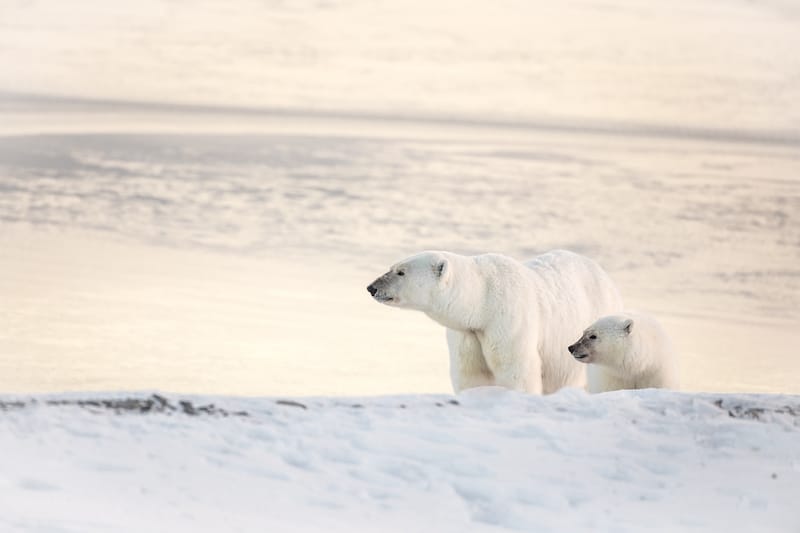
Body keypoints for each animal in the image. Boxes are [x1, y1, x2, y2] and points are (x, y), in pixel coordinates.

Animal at [368, 250, 624, 394]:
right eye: (392, 267)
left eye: (401, 272)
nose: (372, 287)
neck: (482, 299)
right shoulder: (467, 333)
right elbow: (471, 373)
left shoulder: (507, 321)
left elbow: (516, 369)